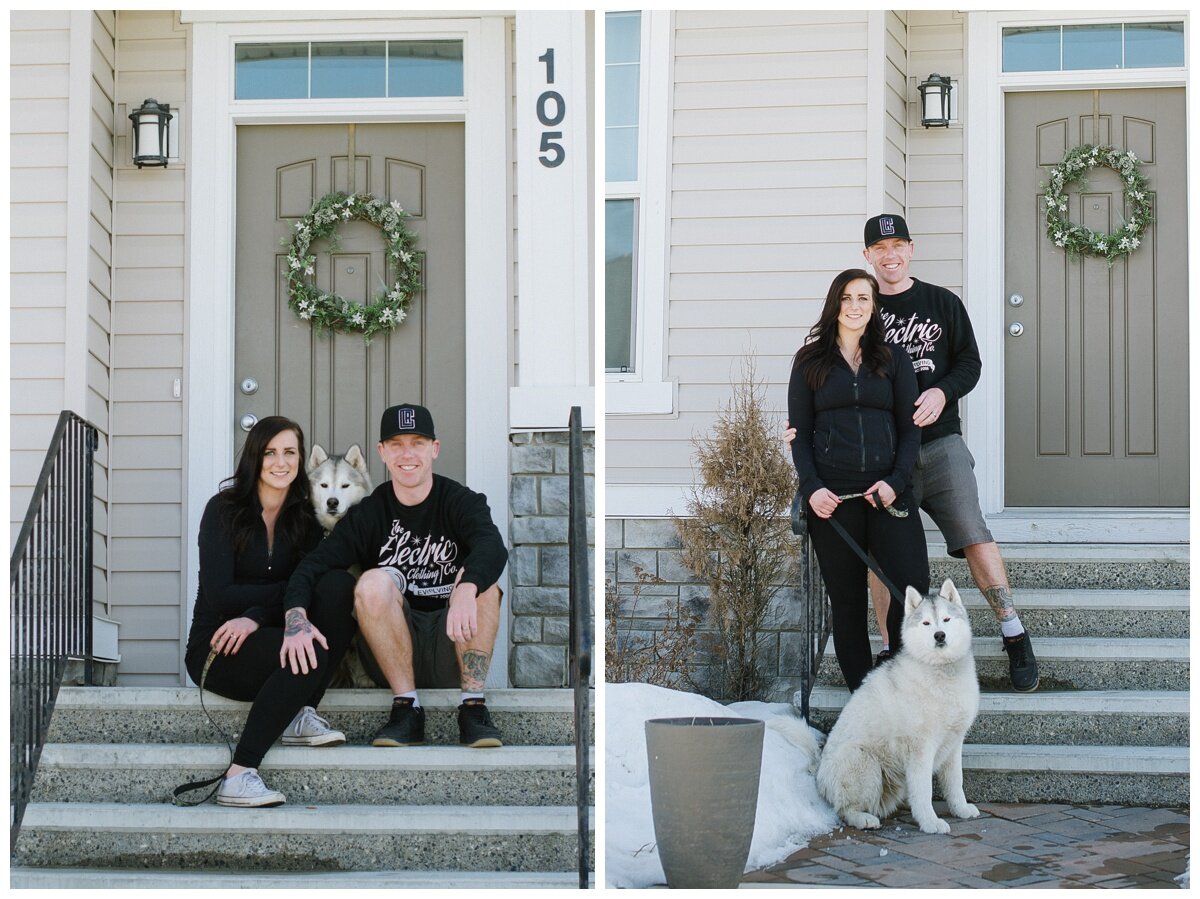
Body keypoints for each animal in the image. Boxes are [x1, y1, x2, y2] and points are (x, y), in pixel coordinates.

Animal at [820, 578, 979, 830]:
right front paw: (930, 822)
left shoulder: (954, 743)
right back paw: (864, 819)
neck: (941, 671)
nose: (939, 635)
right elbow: (924, 791)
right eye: (926, 623)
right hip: (864, 761)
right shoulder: (920, 749)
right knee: (845, 809)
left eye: (946, 619)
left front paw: (961, 810)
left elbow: (956, 783)